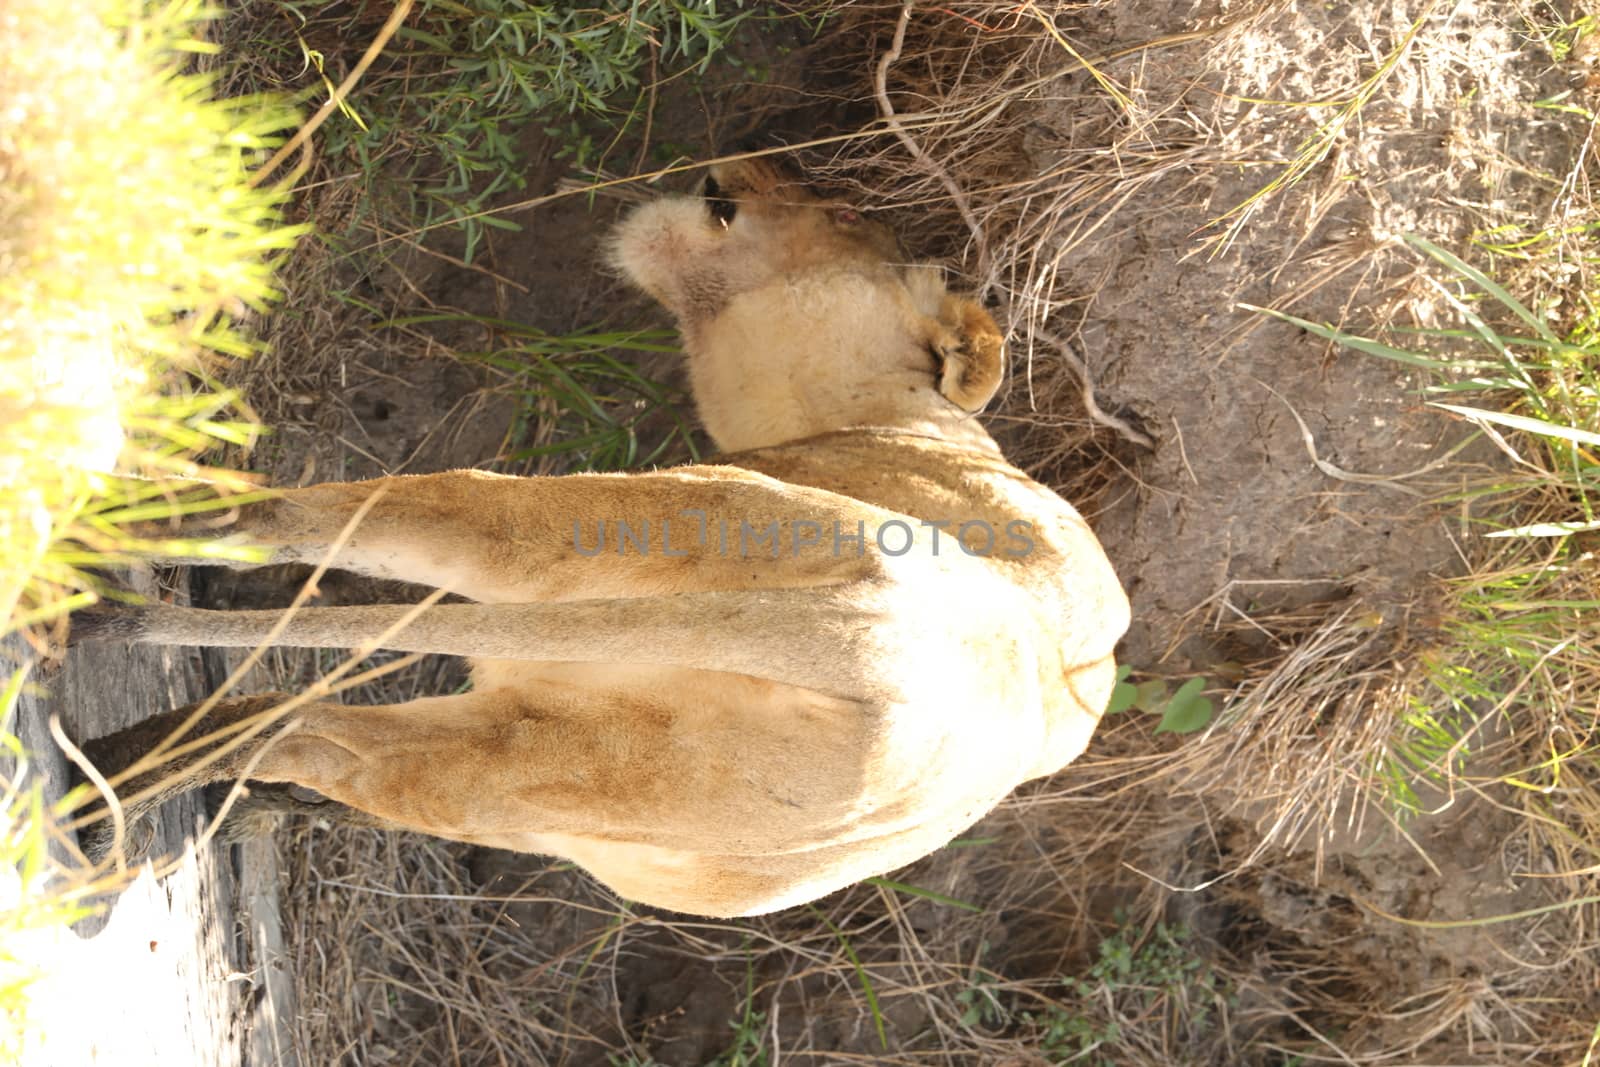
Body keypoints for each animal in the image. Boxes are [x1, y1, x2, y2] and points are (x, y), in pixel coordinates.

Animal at [75, 156, 1126, 921]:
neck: (900, 420)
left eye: (840, 216)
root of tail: (874, 636)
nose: (746, 164)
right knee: (325, 695)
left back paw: (107, 750)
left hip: (580, 561)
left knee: (305, 677)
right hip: (574, 757)